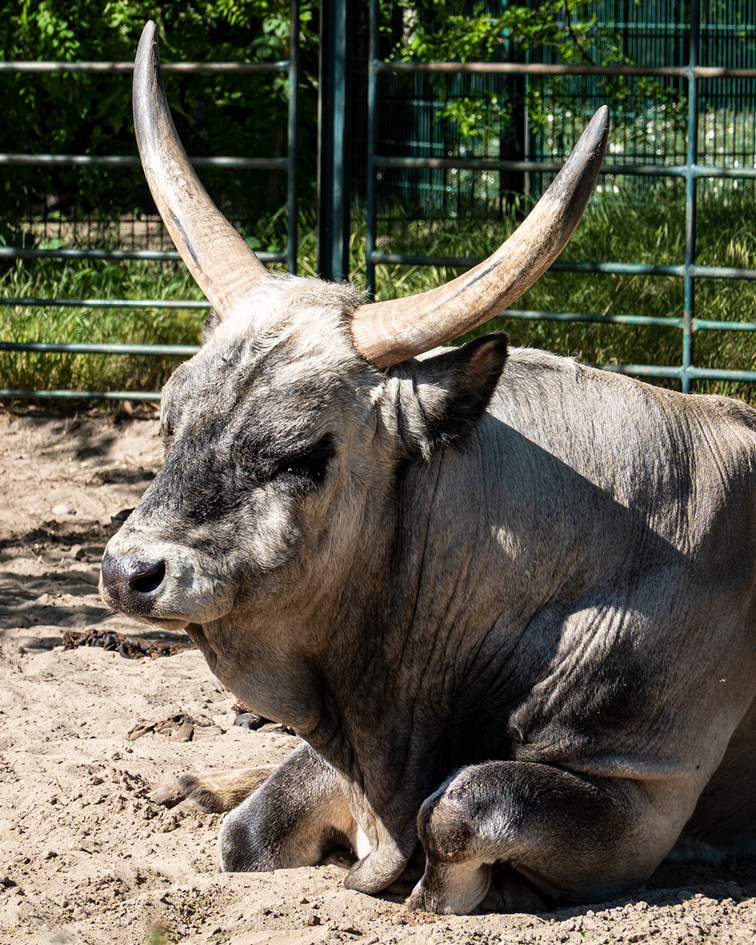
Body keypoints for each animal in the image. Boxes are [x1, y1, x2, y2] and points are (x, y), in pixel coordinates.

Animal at [100, 22, 756, 920]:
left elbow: (462, 805)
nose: (130, 571)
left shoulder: (642, 793)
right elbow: (252, 828)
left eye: (307, 453)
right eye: (167, 418)